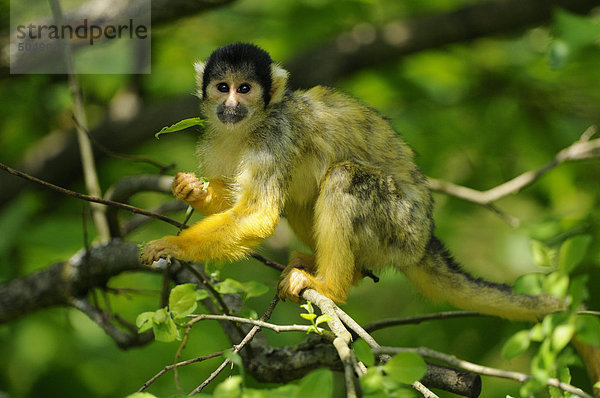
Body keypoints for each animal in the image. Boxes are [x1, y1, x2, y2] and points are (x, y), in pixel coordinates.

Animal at [142, 42, 568, 320]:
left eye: (244, 89)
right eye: (223, 88)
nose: (230, 105)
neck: (248, 127)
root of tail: (424, 241)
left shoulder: (275, 138)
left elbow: (259, 214)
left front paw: (174, 245)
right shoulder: (218, 136)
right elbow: (237, 200)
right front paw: (193, 191)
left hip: (398, 227)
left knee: (342, 178)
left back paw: (331, 285)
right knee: (301, 195)